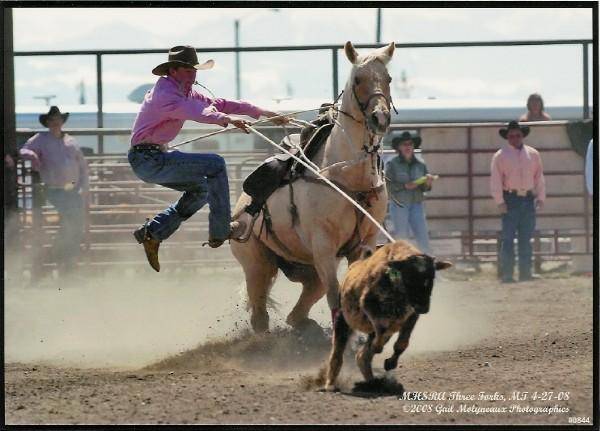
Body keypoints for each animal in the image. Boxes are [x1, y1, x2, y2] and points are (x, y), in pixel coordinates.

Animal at [230, 41, 394, 334]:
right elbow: (335, 296)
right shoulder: (324, 248)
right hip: (257, 264)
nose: (380, 117)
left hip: (305, 269)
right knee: (260, 313)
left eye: (388, 79)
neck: (350, 178)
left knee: (300, 307)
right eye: (357, 79)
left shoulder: (364, 243)